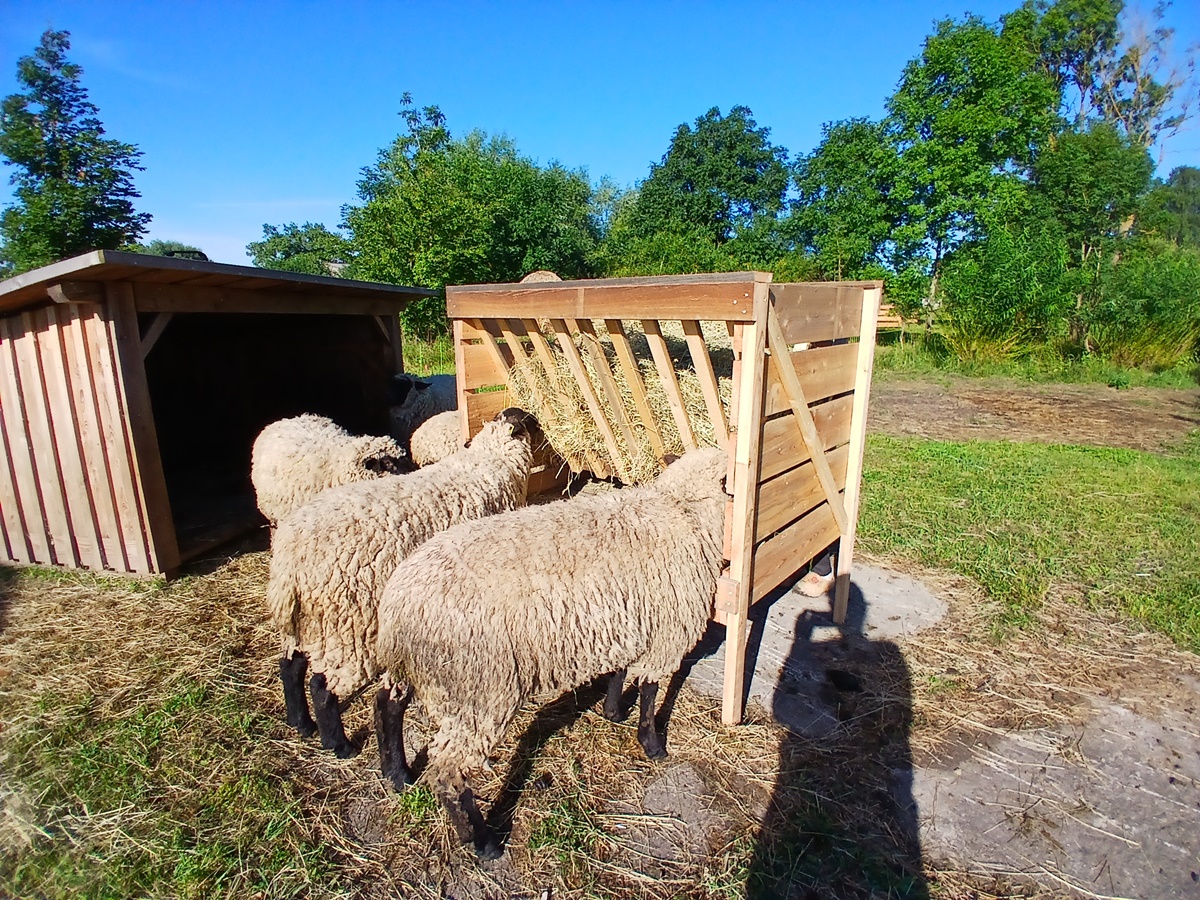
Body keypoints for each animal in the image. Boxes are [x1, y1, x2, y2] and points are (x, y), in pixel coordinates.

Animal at [373, 446, 729, 858]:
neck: (681, 510)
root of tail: (398, 603)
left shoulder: (625, 622)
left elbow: (620, 672)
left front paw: (612, 712)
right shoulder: (666, 634)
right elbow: (650, 691)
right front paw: (653, 744)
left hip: (424, 671)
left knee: (387, 704)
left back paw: (397, 774)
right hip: (480, 689)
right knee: (448, 772)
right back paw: (484, 844)